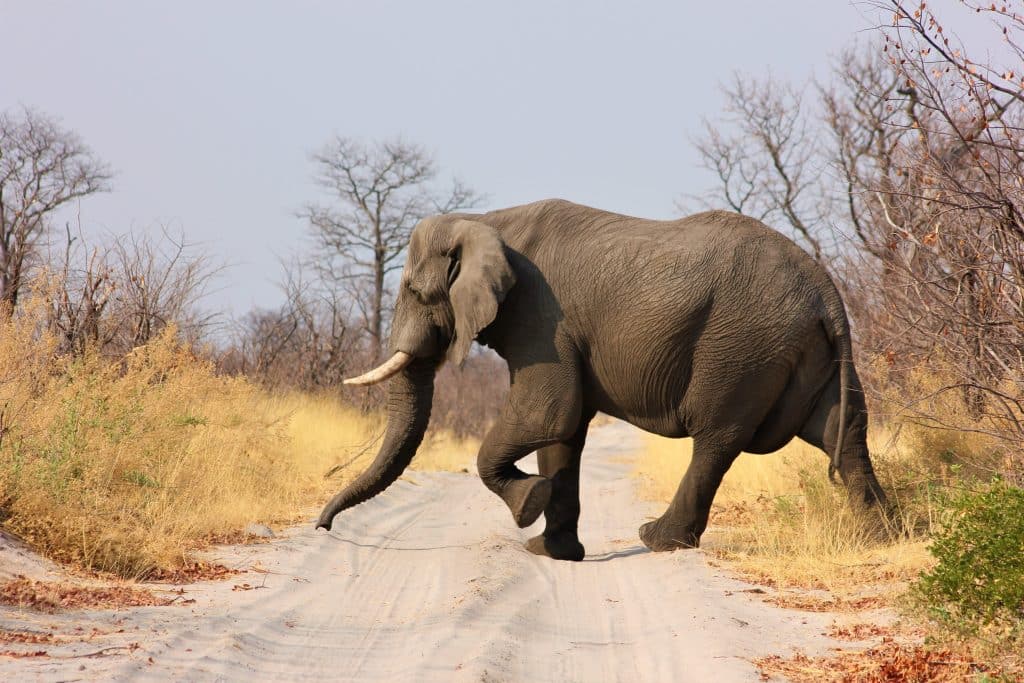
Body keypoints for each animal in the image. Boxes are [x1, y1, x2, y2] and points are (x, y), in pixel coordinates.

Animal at [319, 197, 888, 561]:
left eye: (416, 292)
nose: (322, 527)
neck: (484, 220)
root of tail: (827, 291)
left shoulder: (541, 318)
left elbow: (549, 411)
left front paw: (528, 505)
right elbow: (563, 432)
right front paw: (551, 550)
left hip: (742, 346)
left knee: (716, 439)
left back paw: (658, 540)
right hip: (804, 352)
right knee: (842, 430)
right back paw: (879, 536)